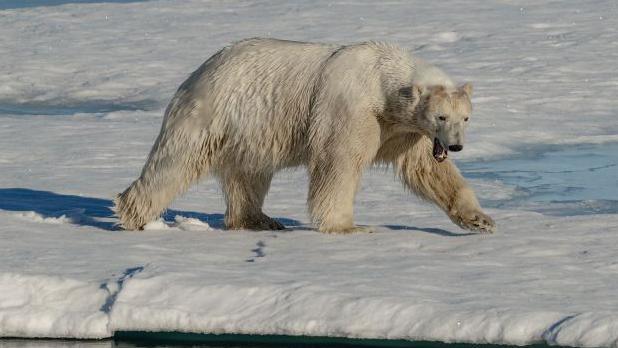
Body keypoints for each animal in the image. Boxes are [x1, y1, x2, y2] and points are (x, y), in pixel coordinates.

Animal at [113, 37, 494, 234]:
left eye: (465, 117)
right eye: (441, 116)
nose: (455, 145)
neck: (382, 80)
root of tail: (197, 72)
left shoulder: (403, 129)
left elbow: (427, 170)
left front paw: (480, 220)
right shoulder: (351, 108)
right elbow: (338, 162)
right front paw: (348, 226)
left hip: (250, 131)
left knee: (249, 174)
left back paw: (259, 220)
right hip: (212, 113)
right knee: (173, 164)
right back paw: (133, 215)